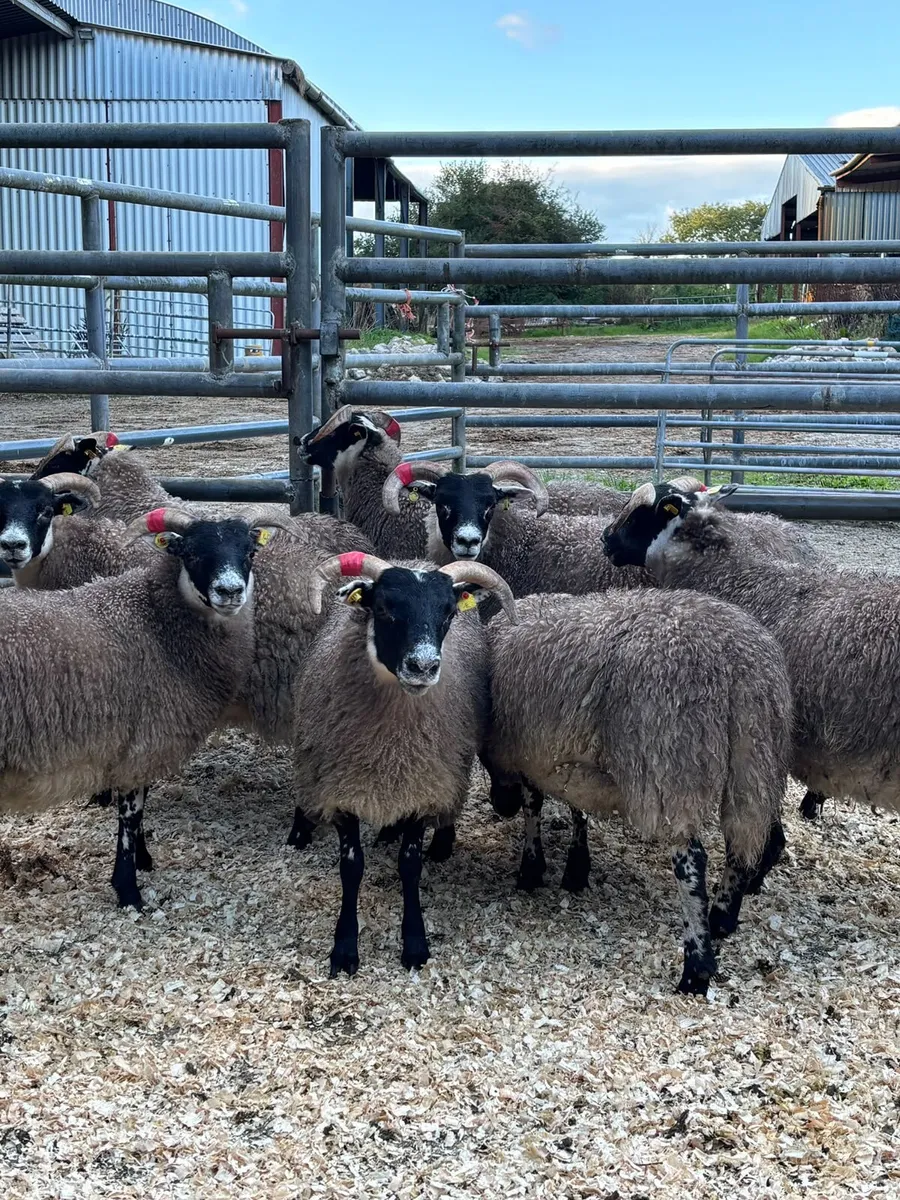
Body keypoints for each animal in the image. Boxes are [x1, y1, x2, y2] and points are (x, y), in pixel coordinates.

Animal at [0, 506, 288, 909]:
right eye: (192, 554)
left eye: (249, 553)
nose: (230, 592)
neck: (157, 621)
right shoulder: (144, 741)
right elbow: (131, 814)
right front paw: (128, 889)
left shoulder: (141, 740)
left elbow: (142, 804)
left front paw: (143, 860)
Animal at [294, 550, 517, 975]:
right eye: (383, 607)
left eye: (447, 613)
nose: (423, 667)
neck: (391, 746)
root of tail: (415, 558)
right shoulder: (340, 790)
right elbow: (352, 868)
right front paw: (344, 948)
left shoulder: (422, 787)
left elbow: (409, 865)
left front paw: (415, 943)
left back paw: (438, 842)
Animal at [484, 589, 791, 995]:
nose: (499, 806)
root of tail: (733, 661)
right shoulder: (570, 756)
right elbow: (576, 809)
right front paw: (575, 868)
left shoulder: (529, 754)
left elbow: (534, 804)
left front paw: (531, 869)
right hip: (754, 762)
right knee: (740, 845)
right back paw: (721, 919)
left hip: (672, 766)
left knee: (692, 861)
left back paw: (696, 968)